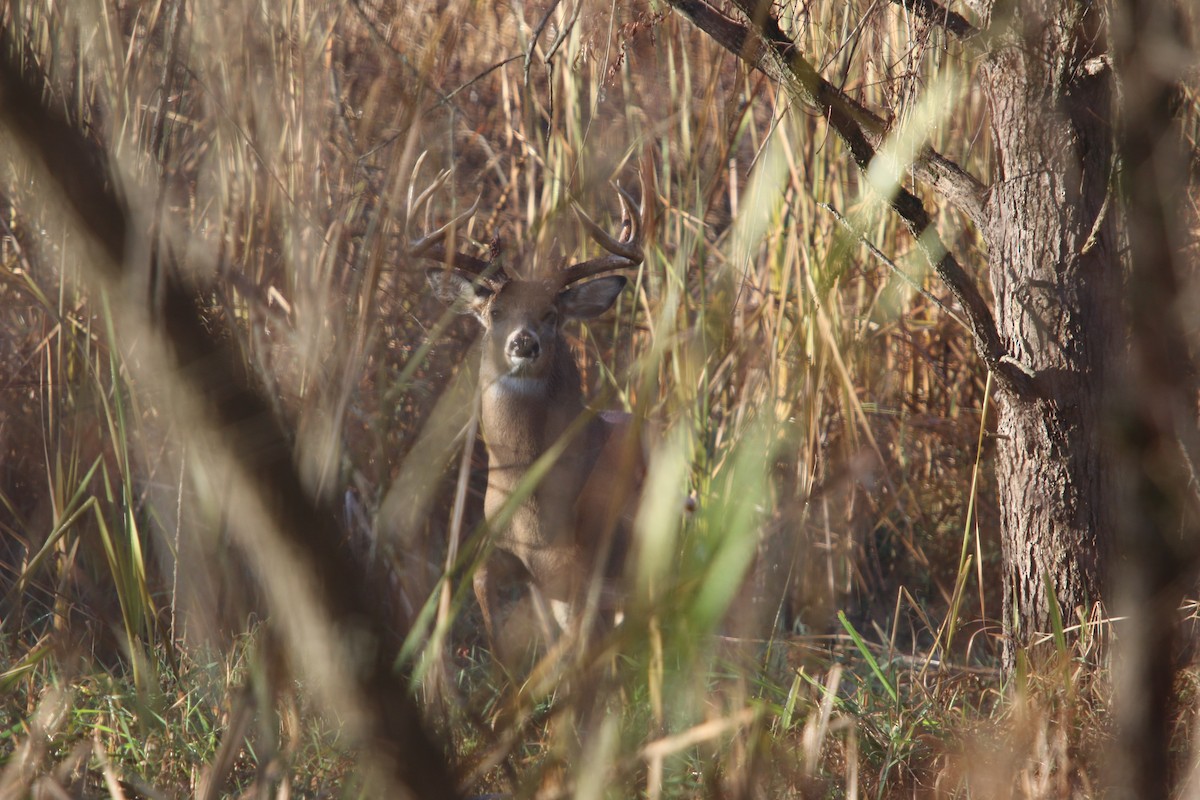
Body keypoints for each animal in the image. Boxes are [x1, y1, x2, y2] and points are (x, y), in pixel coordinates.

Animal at [408, 172, 648, 650]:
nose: (523, 342)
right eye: (495, 310)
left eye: (551, 313)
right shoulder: (496, 553)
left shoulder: (584, 567)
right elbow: (489, 614)